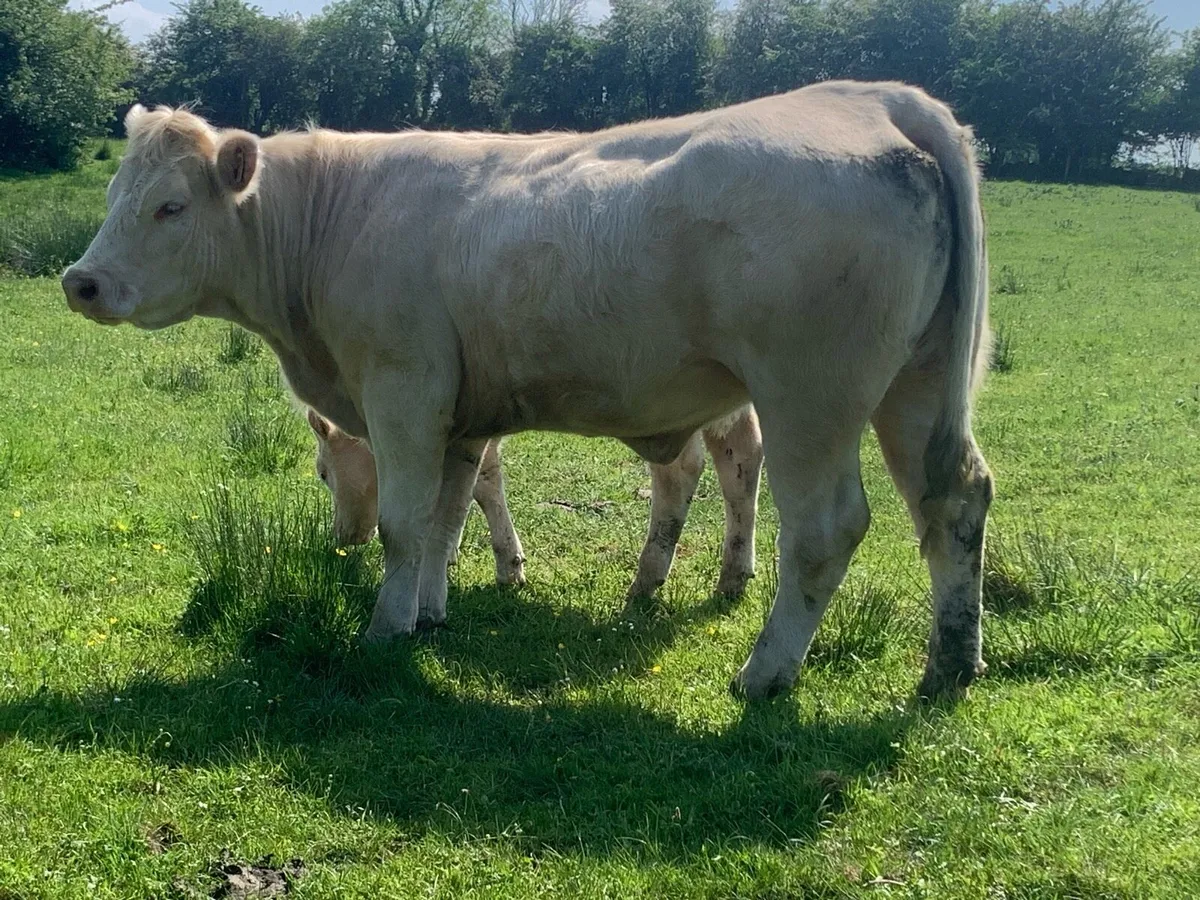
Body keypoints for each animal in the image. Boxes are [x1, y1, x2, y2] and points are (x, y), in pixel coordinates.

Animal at [306, 404, 764, 600]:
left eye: (323, 473)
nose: (342, 537)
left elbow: (481, 484)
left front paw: (508, 566)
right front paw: (451, 552)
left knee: (681, 469)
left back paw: (647, 580)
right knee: (741, 456)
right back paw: (733, 576)